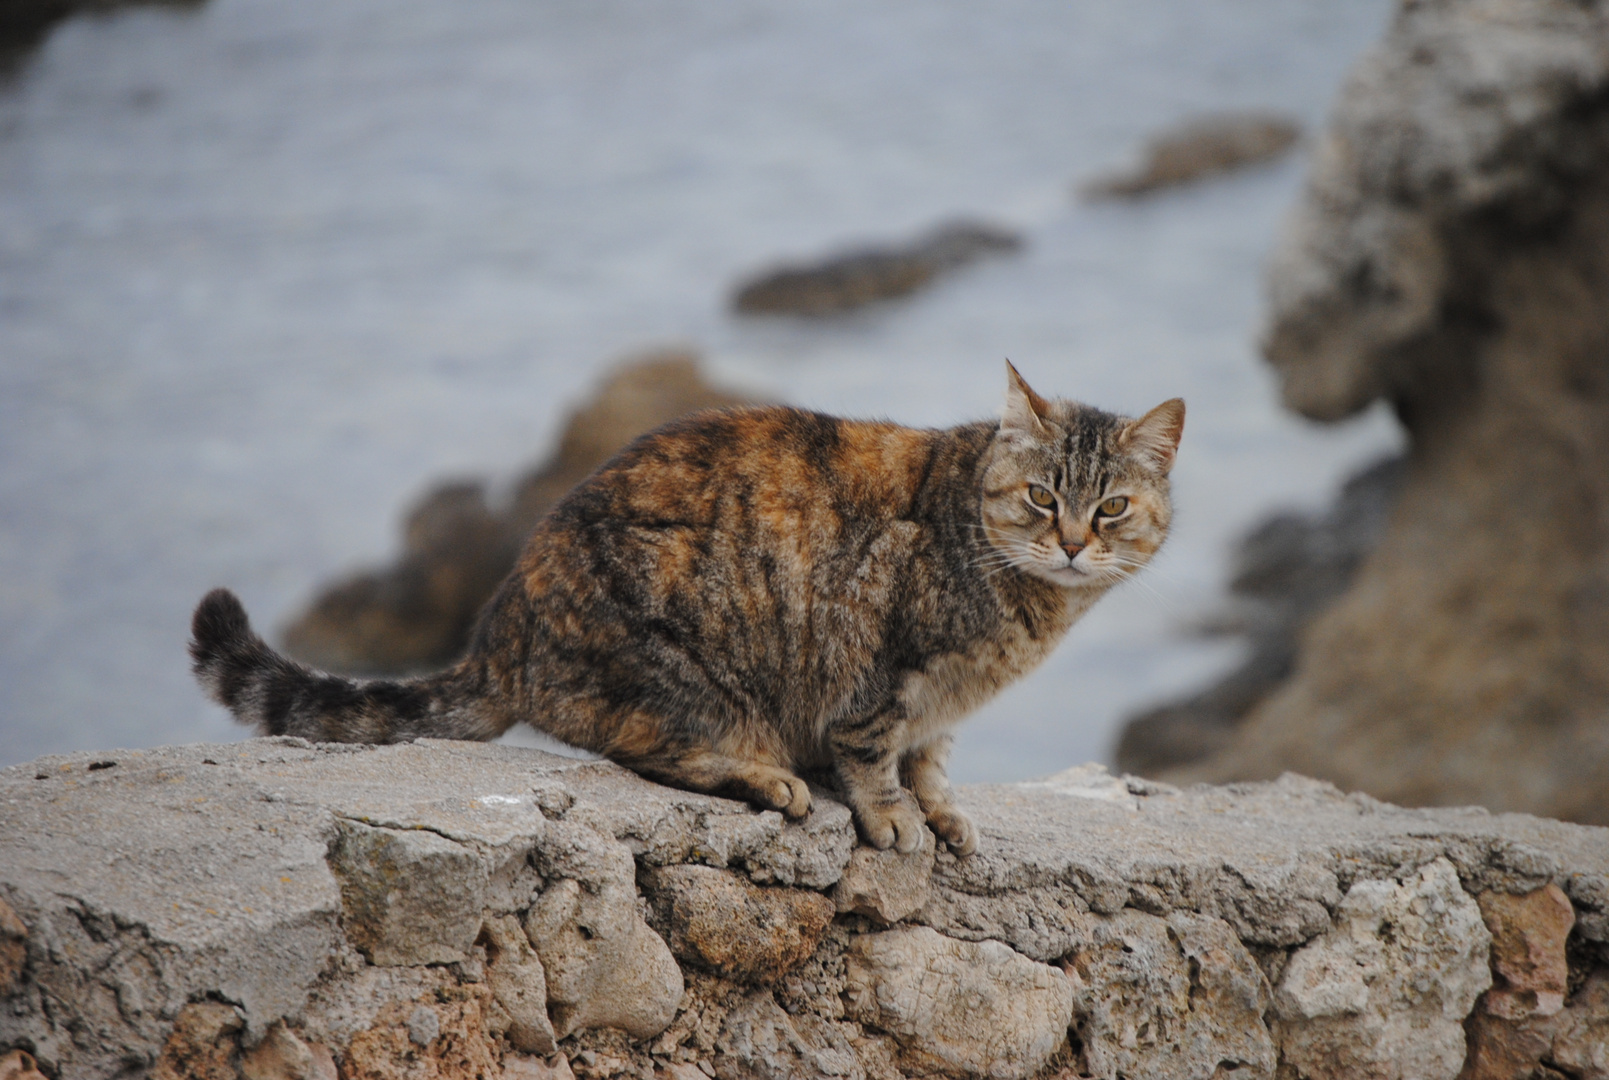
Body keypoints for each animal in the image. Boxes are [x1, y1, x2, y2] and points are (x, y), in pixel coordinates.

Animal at [194, 366, 1190, 856]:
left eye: (1110, 507)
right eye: (1039, 498)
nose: (1072, 542)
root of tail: (503, 627)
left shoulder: (941, 705)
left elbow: (933, 760)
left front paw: (940, 809)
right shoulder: (882, 671)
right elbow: (874, 753)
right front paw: (893, 814)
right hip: (685, 665)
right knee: (649, 748)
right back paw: (765, 777)